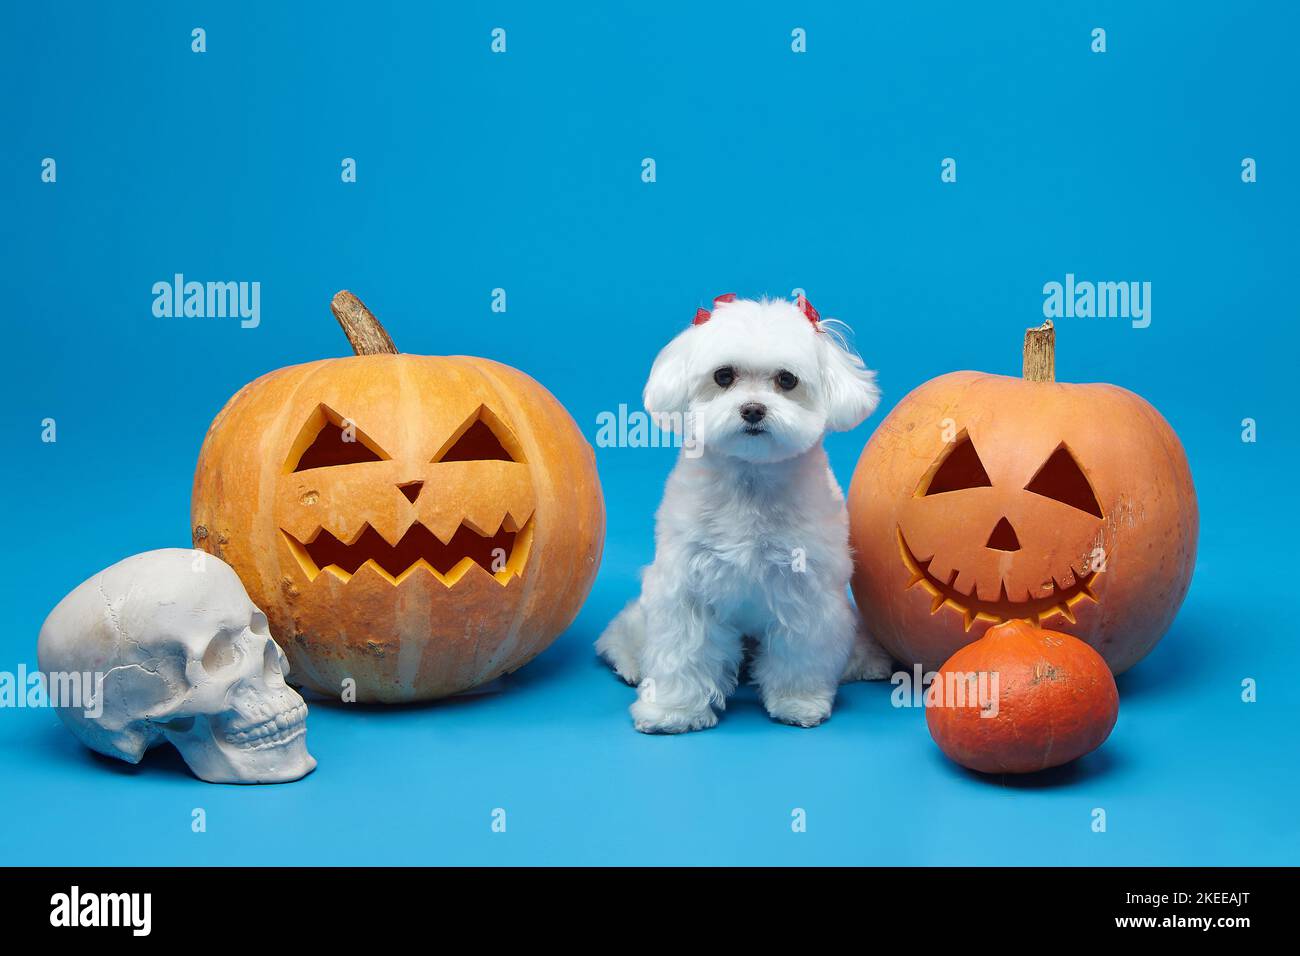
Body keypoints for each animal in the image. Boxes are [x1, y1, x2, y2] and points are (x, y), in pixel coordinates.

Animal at [598, 291, 894, 733]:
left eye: (786, 380)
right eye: (724, 376)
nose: (753, 409)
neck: (750, 482)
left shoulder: (806, 590)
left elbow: (801, 652)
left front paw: (798, 701)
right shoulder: (685, 588)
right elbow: (681, 651)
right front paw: (673, 710)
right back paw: (630, 662)